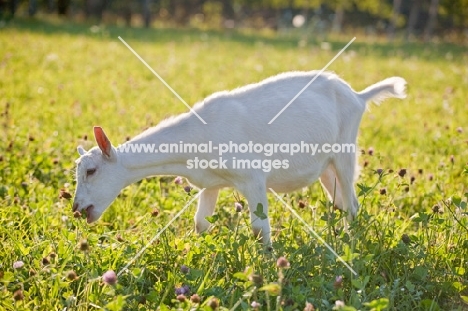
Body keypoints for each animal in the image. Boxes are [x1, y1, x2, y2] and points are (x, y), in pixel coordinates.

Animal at [73, 72, 406, 245]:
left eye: (91, 171)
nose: (77, 209)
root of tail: (359, 96)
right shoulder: (210, 182)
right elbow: (200, 223)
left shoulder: (252, 178)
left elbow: (260, 228)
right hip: (325, 168)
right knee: (343, 202)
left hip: (345, 150)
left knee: (351, 203)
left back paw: (351, 243)